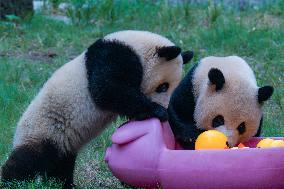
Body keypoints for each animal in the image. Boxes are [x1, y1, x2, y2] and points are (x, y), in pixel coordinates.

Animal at [1, 30, 193, 188]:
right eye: (163, 86)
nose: (164, 106)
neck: (137, 48)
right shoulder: (114, 57)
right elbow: (106, 90)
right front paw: (158, 111)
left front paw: (184, 132)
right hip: (45, 129)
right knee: (28, 160)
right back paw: (10, 181)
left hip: (62, 141)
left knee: (61, 165)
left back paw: (64, 184)